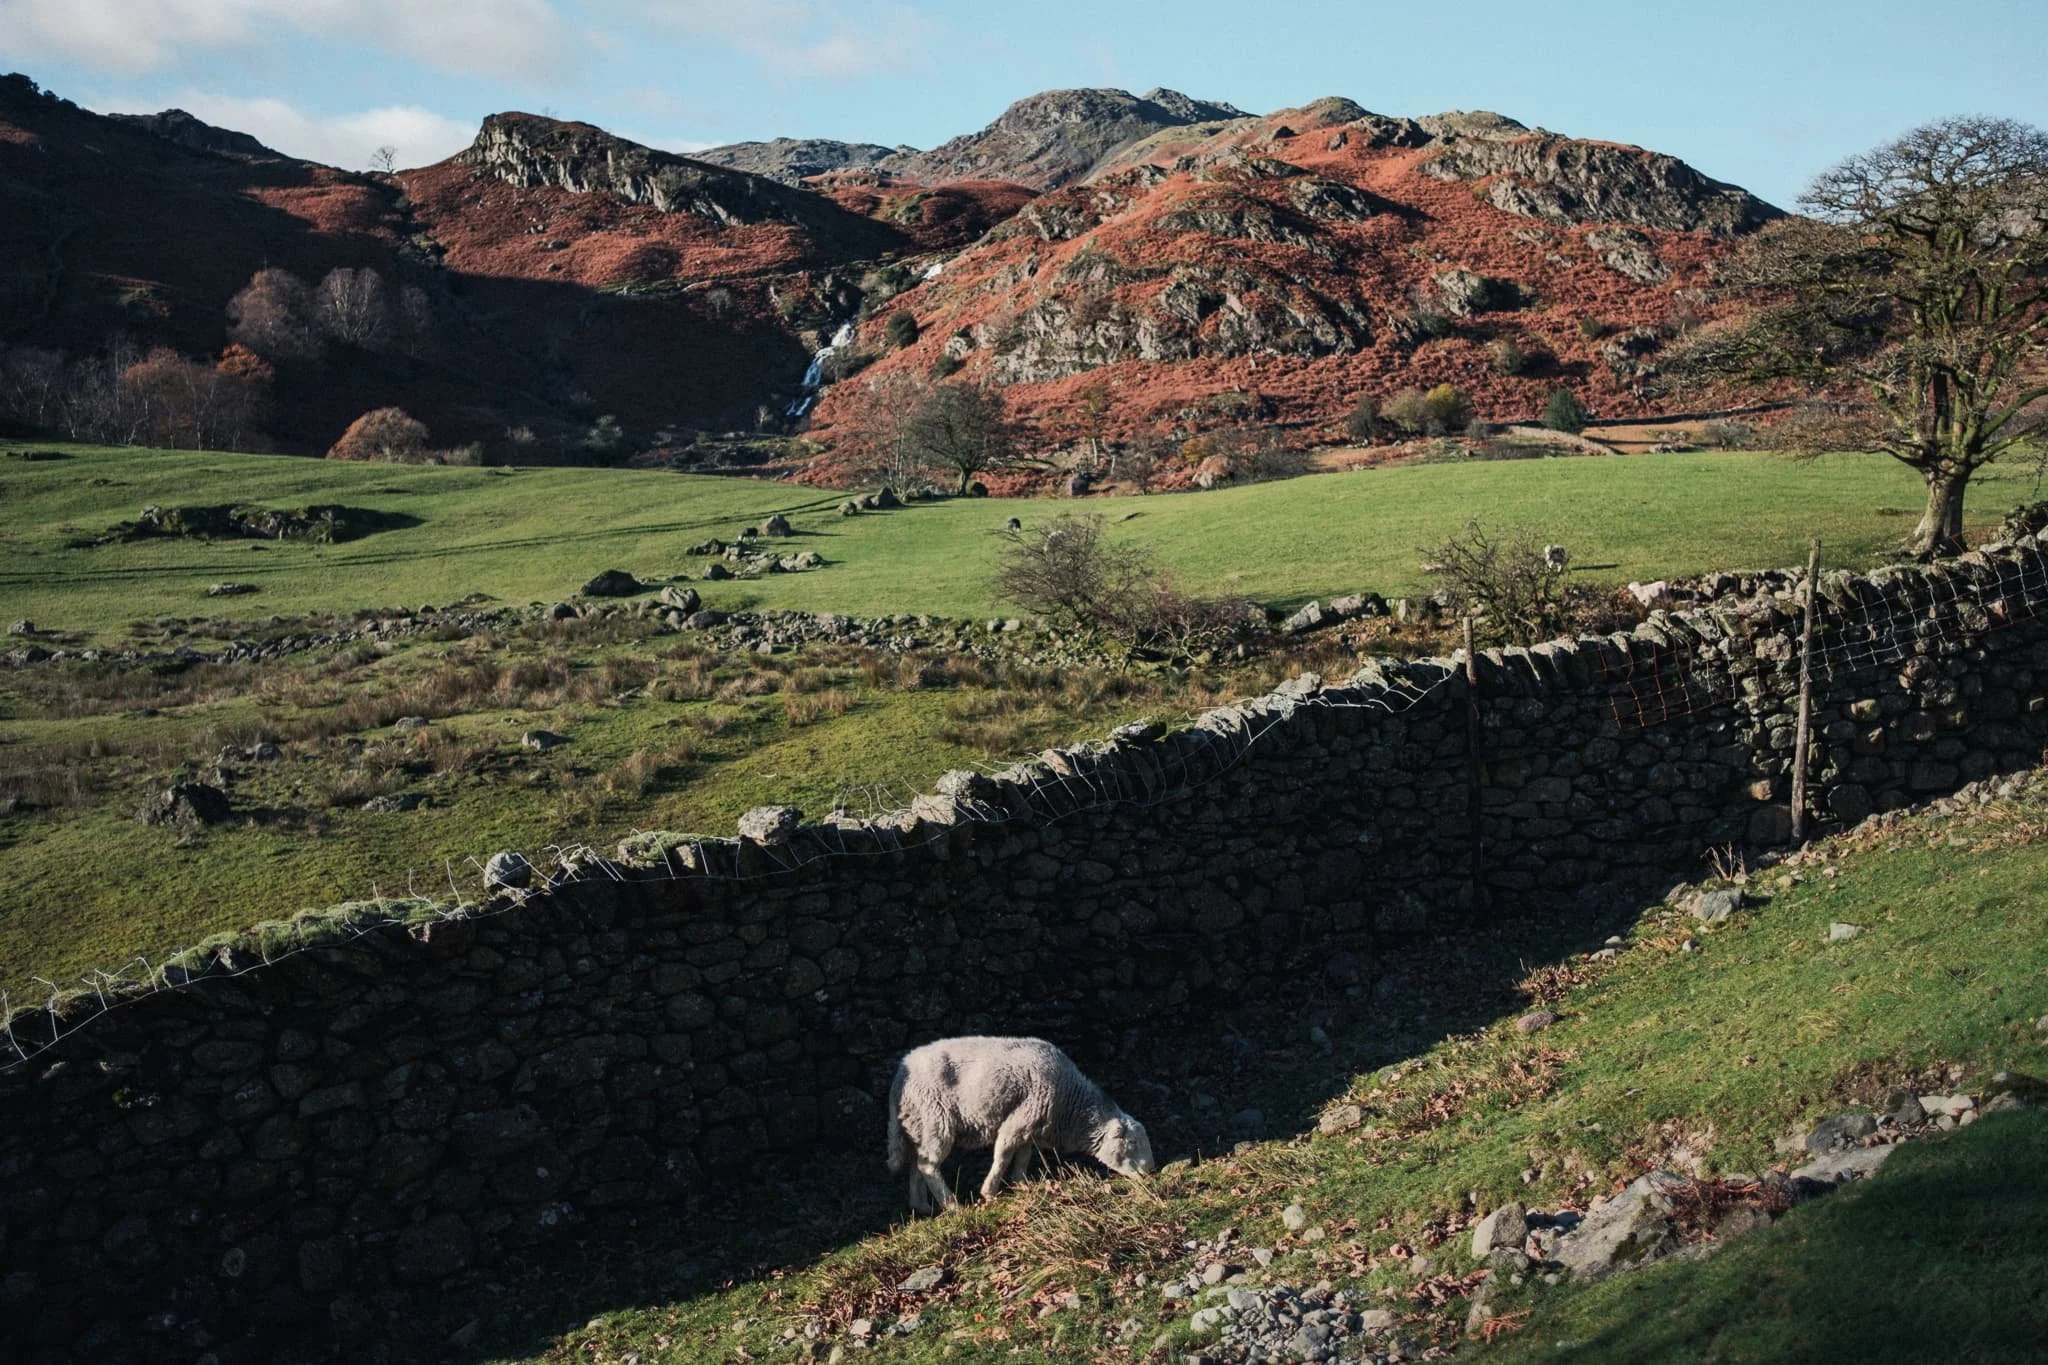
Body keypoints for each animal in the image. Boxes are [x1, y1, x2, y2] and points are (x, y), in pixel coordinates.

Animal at [885, 1035, 1155, 1212]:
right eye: (1132, 1142)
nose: (1151, 1172)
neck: (1072, 1107)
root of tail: (899, 1076)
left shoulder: (1032, 1127)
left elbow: (1023, 1157)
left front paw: (1021, 1185)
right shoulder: (1020, 1120)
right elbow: (1003, 1156)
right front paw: (989, 1192)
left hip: (918, 1125)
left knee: (917, 1164)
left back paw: (921, 1205)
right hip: (936, 1118)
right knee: (927, 1165)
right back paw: (953, 1206)